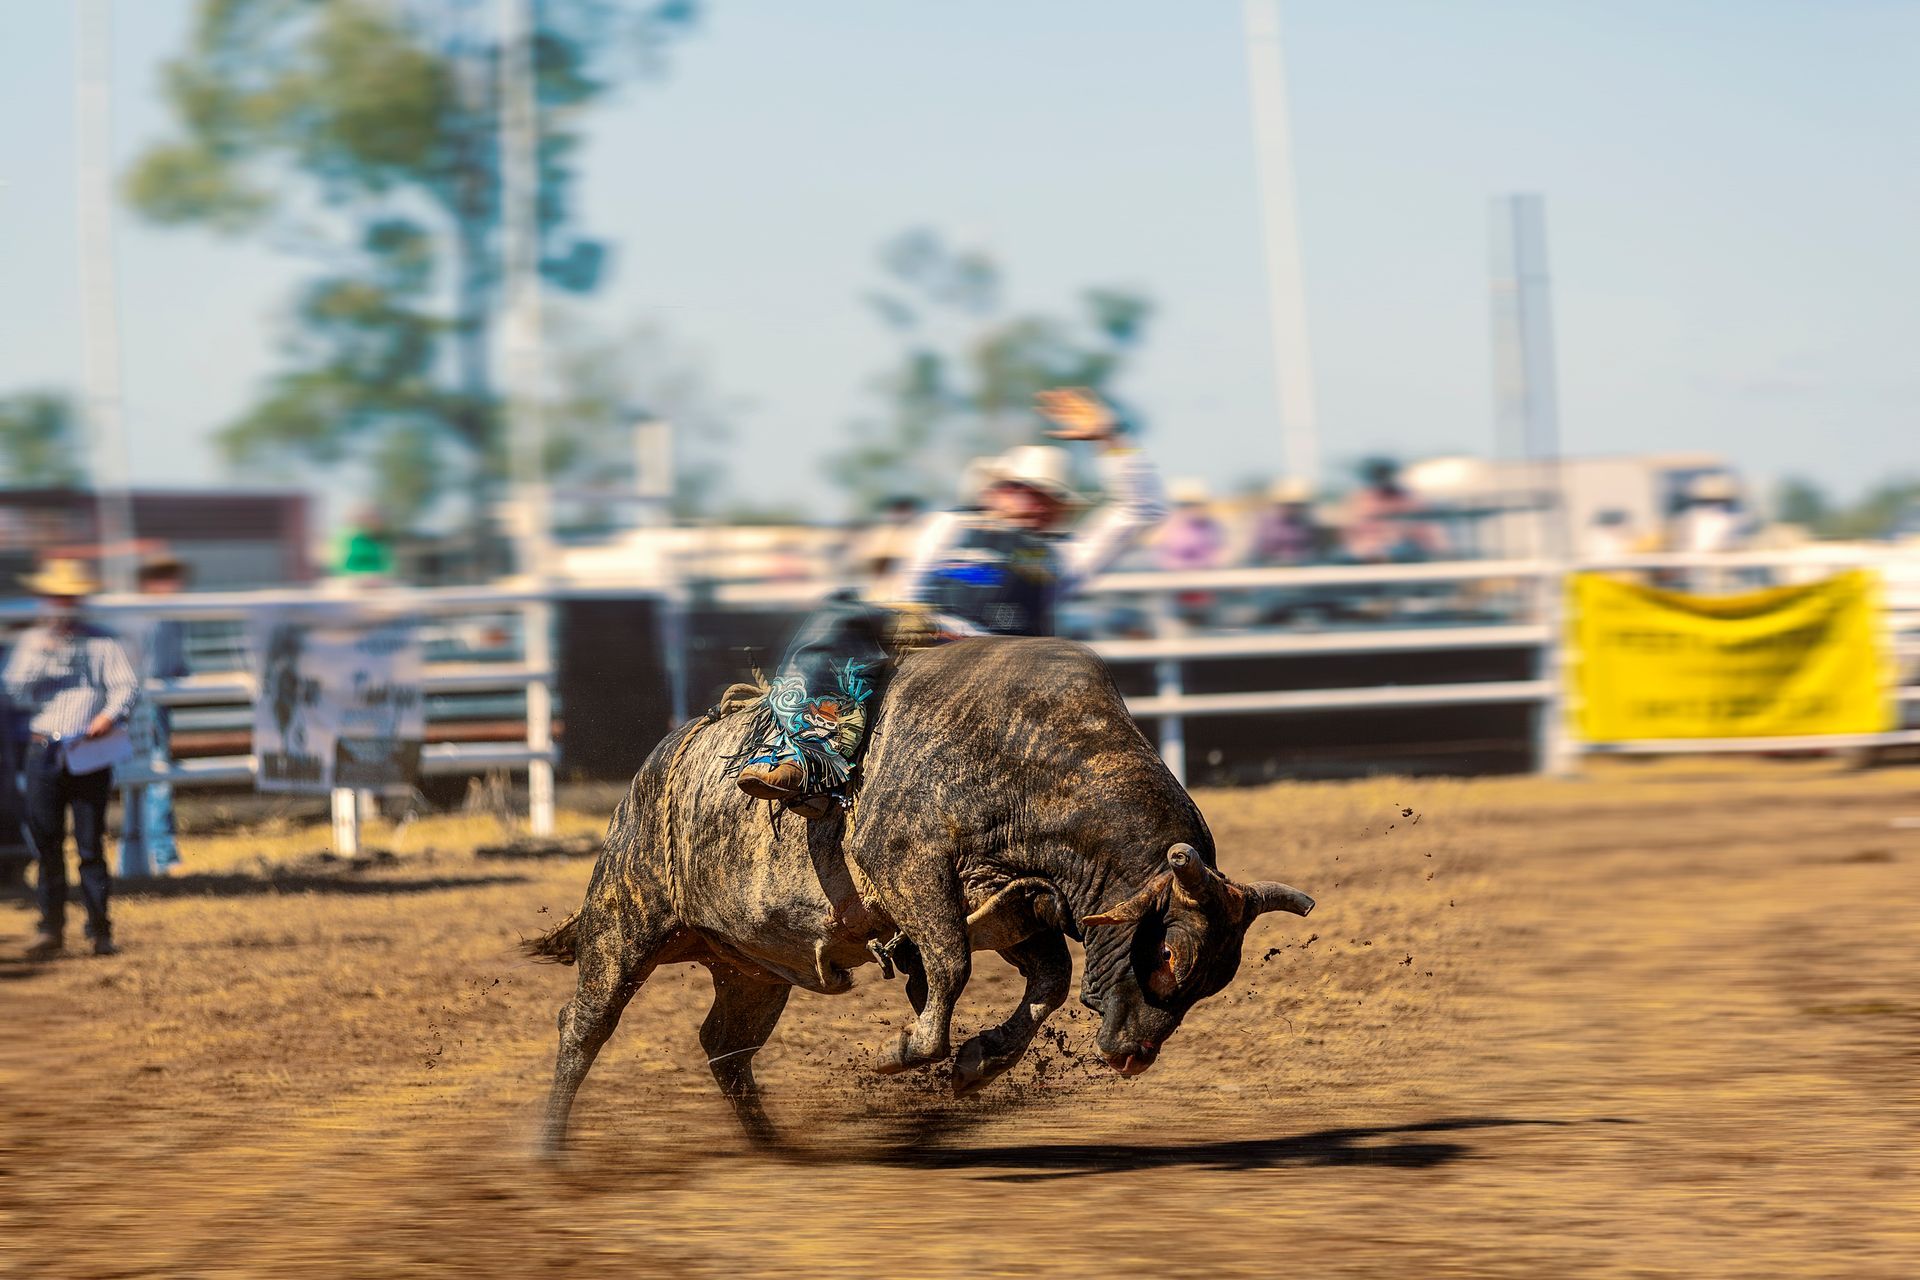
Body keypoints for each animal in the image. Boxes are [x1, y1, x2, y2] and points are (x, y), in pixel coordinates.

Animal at [526, 636, 1314, 1153]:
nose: (1134, 1054)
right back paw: (549, 1150)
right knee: (583, 1026)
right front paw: (907, 1049)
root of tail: (656, 766)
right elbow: (952, 965)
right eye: (1168, 957)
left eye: (1212, 981)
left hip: (751, 968)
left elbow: (1049, 980)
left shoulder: (1015, 910)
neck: (1033, 765)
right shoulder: (913, 872)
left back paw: (776, 1147)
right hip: (623, 923)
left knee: (725, 1046)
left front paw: (979, 1061)